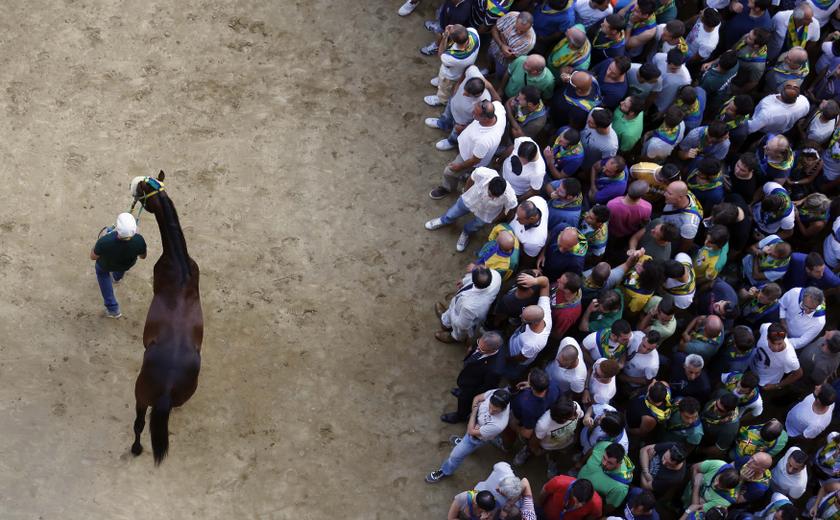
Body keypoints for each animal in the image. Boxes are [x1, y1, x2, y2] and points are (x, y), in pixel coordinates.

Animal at [128, 170, 203, 465]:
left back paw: (135, 448)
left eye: (141, 189)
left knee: (138, 424)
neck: (179, 264)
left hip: (140, 396)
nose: (131, 191)